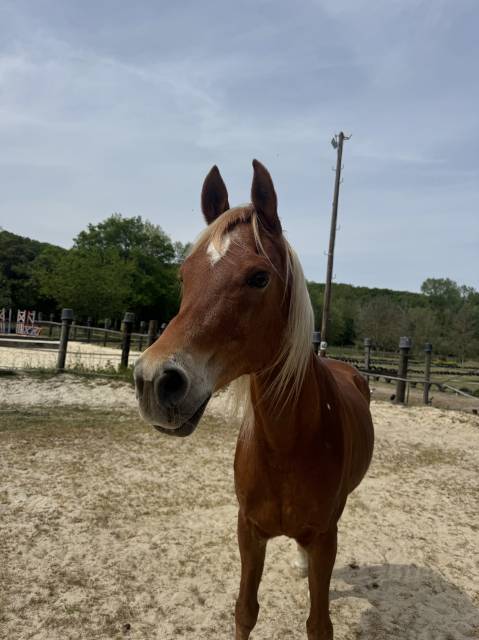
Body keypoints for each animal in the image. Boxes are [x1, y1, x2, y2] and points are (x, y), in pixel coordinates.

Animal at [134, 160, 374, 639]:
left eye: (258, 277)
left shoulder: (326, 537)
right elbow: (245, 611)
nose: (154, 380)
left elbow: (318, 624)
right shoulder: (249, 531)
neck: (286, 446)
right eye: (184, 276)